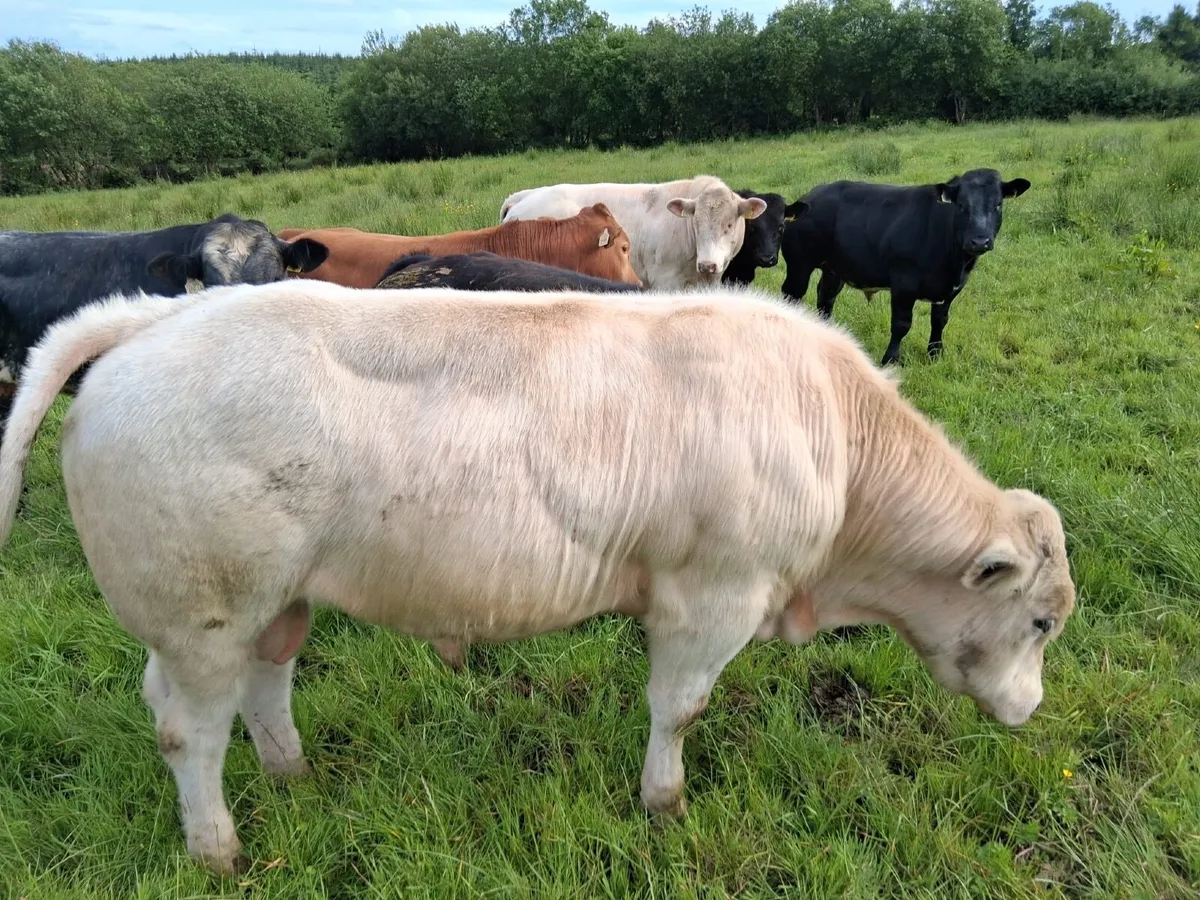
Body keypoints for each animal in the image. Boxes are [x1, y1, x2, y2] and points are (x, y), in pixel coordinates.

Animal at [0, 280, 1075, 875]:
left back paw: (294, 775)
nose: (1031, 713)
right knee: (189, 730)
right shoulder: (712, 596)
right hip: (204, 613)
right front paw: (663, 804)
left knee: (264, 688)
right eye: (1041, 624)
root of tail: (160, 318)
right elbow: (679, 709)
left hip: (274, 602)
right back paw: (217, 849)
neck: (836, 442)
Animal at [780, 168, 1031, 366]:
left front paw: (935, 354)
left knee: (826, 299)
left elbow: (940, 320)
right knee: (792, 296)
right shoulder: (903, 286)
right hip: (799, 266)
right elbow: (901, 325)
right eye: (961, 205)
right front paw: (891, 359)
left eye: (998, 204)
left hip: (834, 269)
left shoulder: (951, 290)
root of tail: (808, 197)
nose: (979, 241)